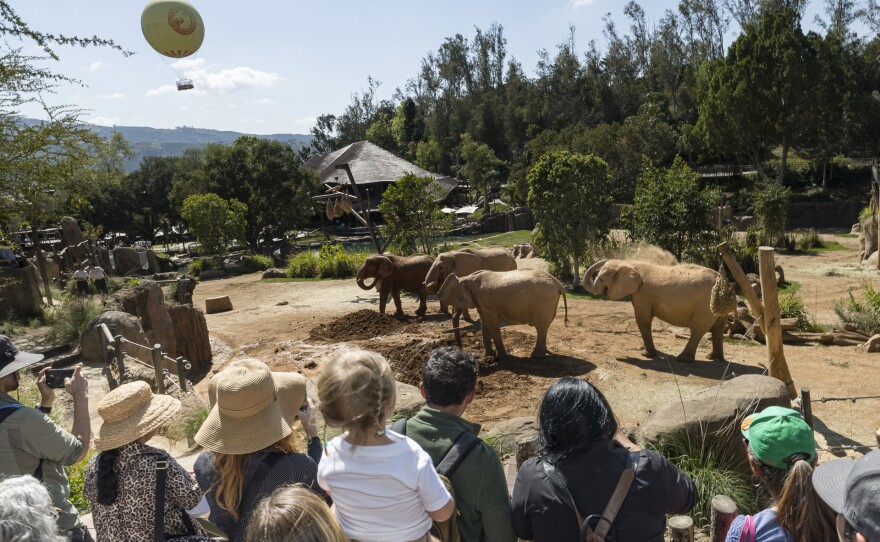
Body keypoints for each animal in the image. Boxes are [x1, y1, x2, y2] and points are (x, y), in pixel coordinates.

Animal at [438, 269, 568, 359]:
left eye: (456, 302)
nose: (460, 350)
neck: (467, 278)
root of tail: (558, 284)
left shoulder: (486, 301)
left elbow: (491, 323)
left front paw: (501, 357)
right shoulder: (482, 302)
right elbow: (484, 324)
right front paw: (488, 356)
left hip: (543, 302)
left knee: (541, 327)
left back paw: (536, 356)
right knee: (543, 327)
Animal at [582, 259, 727, 362]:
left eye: (601, 279)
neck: (630, 264)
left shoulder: (642, 294)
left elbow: (643, 319)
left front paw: (646, 355)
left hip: (705, 307)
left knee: (698, 329)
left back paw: (683, 359)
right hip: (717, 306)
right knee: (718, 329)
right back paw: (713, 358)